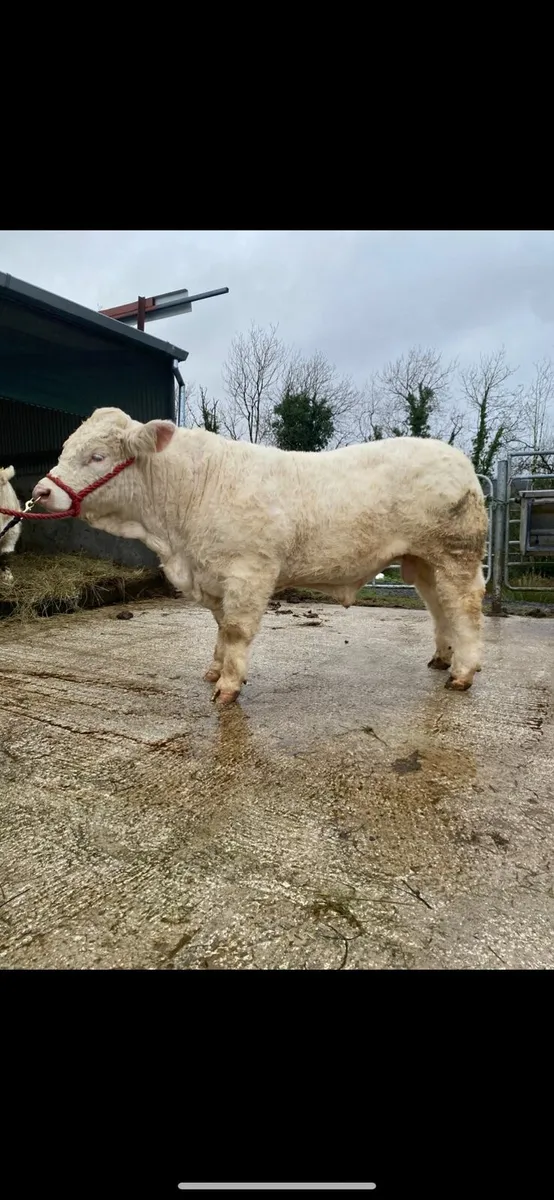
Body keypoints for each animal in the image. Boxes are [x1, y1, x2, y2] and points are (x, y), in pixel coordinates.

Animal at [32, 407, 488, 705]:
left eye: (97, 456)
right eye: (65, 449)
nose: (41, 491)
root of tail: (458, 459)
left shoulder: (249, 570)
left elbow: (235, 630)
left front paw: (227, 687)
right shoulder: (214, 575)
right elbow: (220, 627)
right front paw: (214, 670)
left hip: (455, 554)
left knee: (464, 608)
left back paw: (463, 673)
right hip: (423, 561)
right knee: (439, 607)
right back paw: (443, 658)